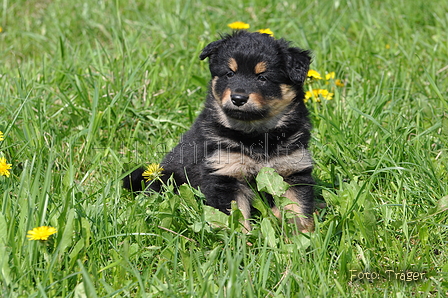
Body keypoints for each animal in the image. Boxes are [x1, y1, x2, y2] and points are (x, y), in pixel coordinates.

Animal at [124, 30, 316, 233]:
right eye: (230, 74)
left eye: (262, 77)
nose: (238, 98)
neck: (255, 136)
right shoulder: (225, 174)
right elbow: (236, 214)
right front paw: (240, 238)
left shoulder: (293, 171)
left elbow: (297, 209)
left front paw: (302, 235)